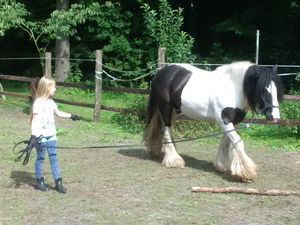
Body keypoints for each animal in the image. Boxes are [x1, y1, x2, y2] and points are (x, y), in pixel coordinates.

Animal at [144, 60, 282, 182]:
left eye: (276, 90)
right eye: (263, 90)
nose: (275, 117)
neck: (233, 89)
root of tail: (161, 72)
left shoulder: (233, 121)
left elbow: (226, 143)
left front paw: (222, 165)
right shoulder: (224, 120)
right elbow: (238, 142)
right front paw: (247, 172)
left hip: (174, 111)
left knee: (164, 129)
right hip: (165, 109)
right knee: (166, 129)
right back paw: (174, 160)